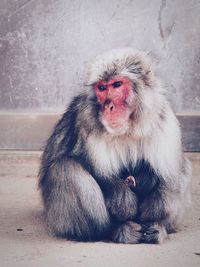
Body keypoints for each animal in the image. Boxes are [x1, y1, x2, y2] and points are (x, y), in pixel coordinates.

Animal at [38, 48, 191, 245]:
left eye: (117, 84)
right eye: (102, 88)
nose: (108, 106)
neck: (128, 129)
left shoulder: (163, 119)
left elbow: (172, 170)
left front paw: (155, 213)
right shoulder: (85, 121)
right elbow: (92, 167)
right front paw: (122, 197)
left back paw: (158, 228)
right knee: (65, 168)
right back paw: (115, 231)